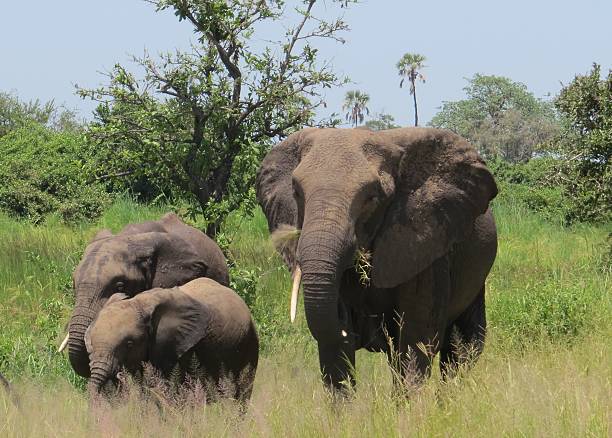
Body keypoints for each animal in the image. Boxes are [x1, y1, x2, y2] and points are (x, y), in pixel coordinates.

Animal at [85, 278, 258, 404]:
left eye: (129, 344)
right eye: (91, 344)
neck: (139, 302)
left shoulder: (179, 347)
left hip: (250, 341)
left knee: (242, 394)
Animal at [256, 128, 500, 392]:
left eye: (371, 198)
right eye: (296, 193)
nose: (346, 320)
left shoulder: (425, 249)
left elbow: (415, 339)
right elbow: (335, 355)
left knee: (462, 348)